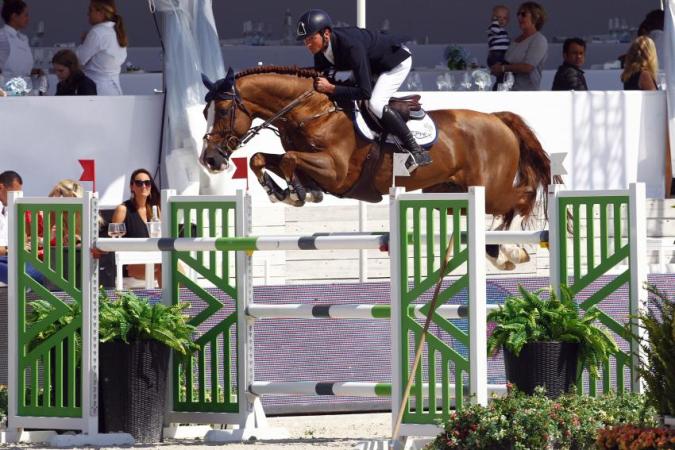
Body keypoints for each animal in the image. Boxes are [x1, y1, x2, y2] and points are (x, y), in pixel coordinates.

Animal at [200, 66, 558, 269]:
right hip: (449, 194)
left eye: (222, 110)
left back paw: (512, 250)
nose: (210, 160)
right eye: (205, 111)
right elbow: (262, 158)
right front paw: (284, 191)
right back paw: (498, 252)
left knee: (522, 197)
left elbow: (289, 160)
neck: (312, 111)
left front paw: (297, 192)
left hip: (491, 189)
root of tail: (497, 118)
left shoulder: (336, 172)